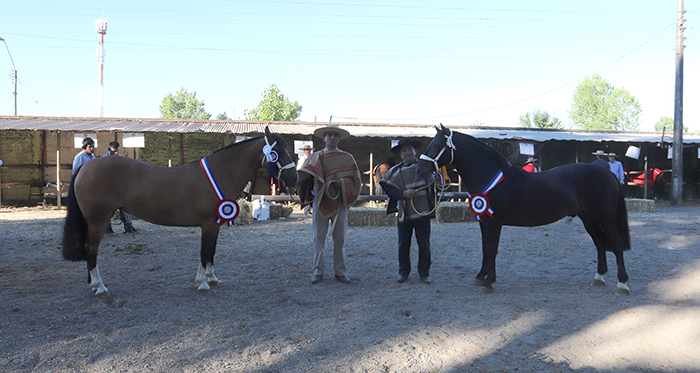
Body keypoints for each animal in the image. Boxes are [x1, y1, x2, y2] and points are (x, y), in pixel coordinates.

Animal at [60, 126, 298, 294]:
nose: (294, 178)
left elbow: (212, 251)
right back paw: (100, 287)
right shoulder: (208, 224)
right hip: (98, 220)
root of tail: (86, 166)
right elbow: (204, 252)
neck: (220, 173)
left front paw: (212, 278)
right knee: (91, 249)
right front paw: (202, 282)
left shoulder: (215, 224)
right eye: (278, 152)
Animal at [412, 125, 632, 294]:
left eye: (436, 146)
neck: (491, 175)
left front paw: (488, 282)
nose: (418, 170)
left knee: (616, 244)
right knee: (600, 243)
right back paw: (599, 278)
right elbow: (485, 248)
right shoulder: (484, 221)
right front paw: (481, 276)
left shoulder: (494, 222)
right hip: (589, 218)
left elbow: (492, 250)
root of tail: (608, 173)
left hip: (605, 219)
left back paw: (622, 284)